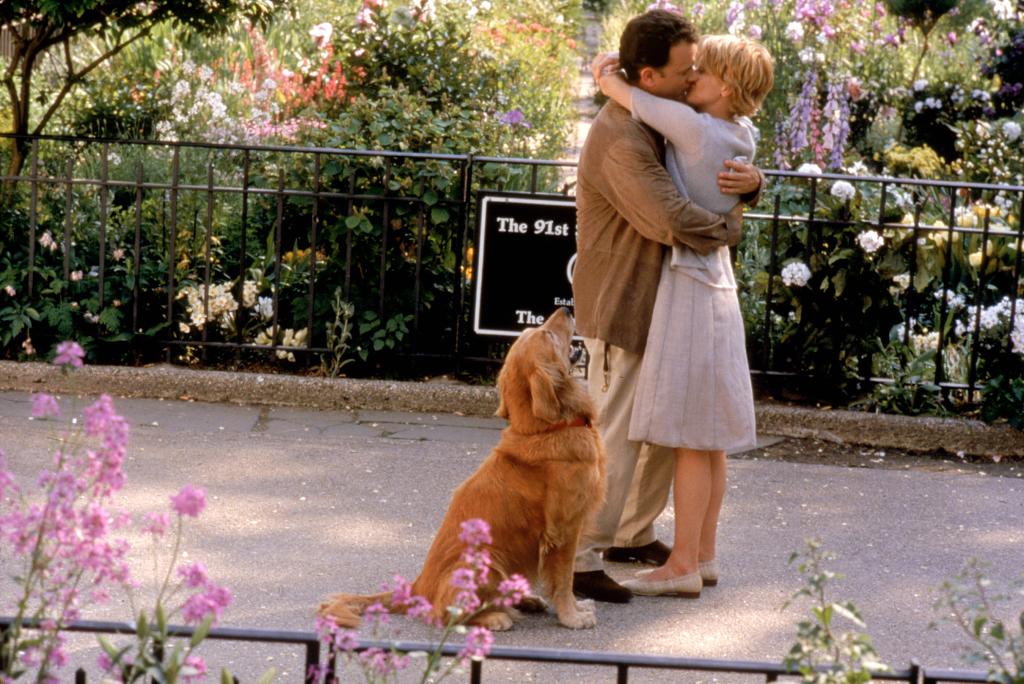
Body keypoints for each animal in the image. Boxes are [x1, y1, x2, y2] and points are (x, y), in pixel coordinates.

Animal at [319, 309, 602, 630]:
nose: (567, 309)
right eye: (548, 335)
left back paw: (524, 600)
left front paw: (575, 609)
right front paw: (572, 616)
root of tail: (417, 589)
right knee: (447, 613)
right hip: (484, 561)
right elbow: (564, 580)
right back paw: (495, 616)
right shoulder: (564, 530)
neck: (543, 429)